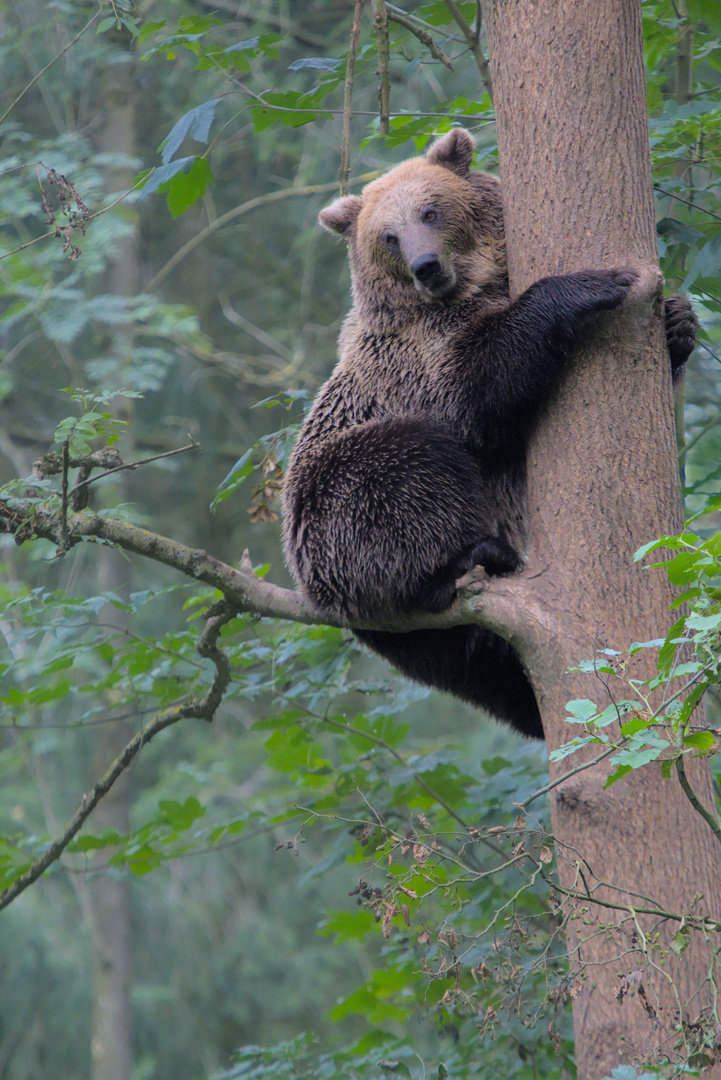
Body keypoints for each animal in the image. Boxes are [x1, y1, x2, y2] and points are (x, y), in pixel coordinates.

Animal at [282, 124, 699, 734]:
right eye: (388, 237)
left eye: (430, 211)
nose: (426, 266)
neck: (472, 286)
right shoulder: (421, 359)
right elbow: (480, 393)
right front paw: (594, 284)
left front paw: (678, 322)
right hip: (328, 506)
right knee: (407, 475)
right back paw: (472, 556)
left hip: (454, 650)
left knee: (496, 676)